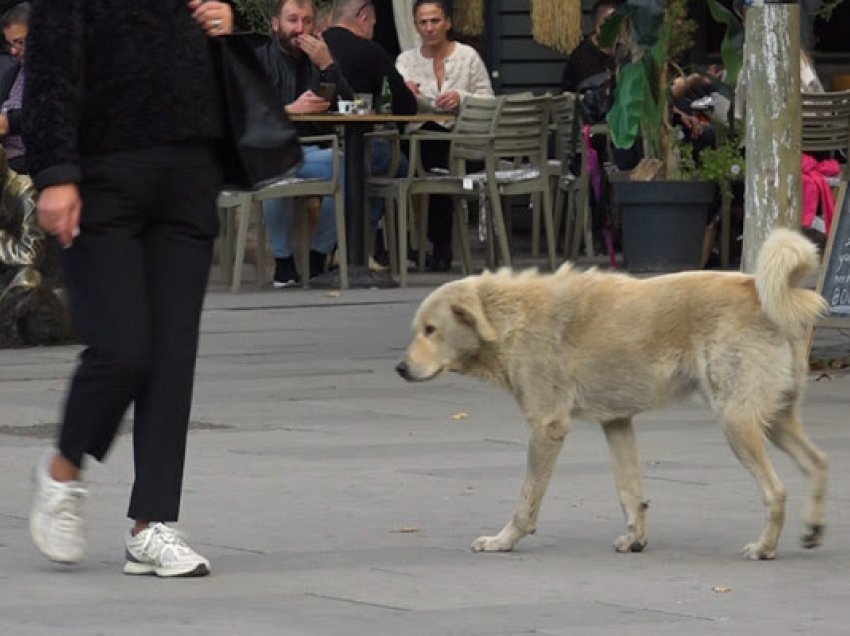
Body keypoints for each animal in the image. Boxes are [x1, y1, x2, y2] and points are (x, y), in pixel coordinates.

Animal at [394, 231, 824, 560]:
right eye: (418, 329)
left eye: (431, 330)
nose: (399, 368)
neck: (510, 318)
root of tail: (756, 289)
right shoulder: (616, 422)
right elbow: (629, 491)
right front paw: (636, 539)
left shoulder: (547, 427)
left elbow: (527, 499)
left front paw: (504, 541)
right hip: (775, 420)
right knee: (819, 463)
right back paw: (813, 528)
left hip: (737, 422)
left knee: (777, 491)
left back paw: (765, 548)